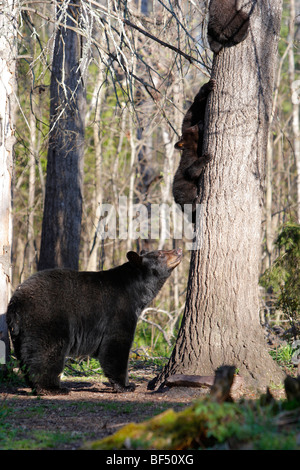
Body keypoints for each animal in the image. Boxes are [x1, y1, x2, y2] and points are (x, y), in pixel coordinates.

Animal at [6, 248, 180, 394]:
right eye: (160, 253)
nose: (178, 250)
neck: (135, 290)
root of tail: (15, 303)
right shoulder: (119, 311)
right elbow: (116, 346)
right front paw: (126, 385)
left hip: (21, 334)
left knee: (26, 356)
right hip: (47, 320)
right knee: (47, 352)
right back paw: (53, 388)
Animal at [171, 79, 216, 222]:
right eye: (193, 129)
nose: (201, 122)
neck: (197, 145)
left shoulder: (189, 121)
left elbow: (194, 110)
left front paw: (209, 85)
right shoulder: (189, 158)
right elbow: (191, 171)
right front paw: (207, 156)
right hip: (184, 193)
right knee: (189, 205)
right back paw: (196, 202)